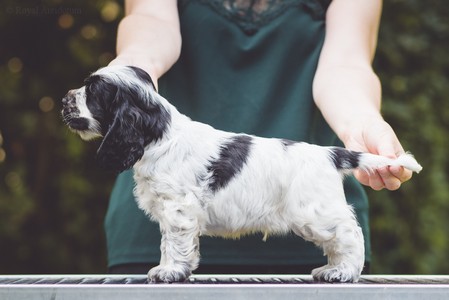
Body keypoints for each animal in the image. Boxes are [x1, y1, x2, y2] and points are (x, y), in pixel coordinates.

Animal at [61, 65, 422, 284]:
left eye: (92, 93)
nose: (64, 99)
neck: (160, 134)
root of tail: (330, 154)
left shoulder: (178, 208)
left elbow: (173, 243)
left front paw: (168, 271)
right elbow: (174, 243)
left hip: (315, 212)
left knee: (349, 233)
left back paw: (343, 272)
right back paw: (332, 268)